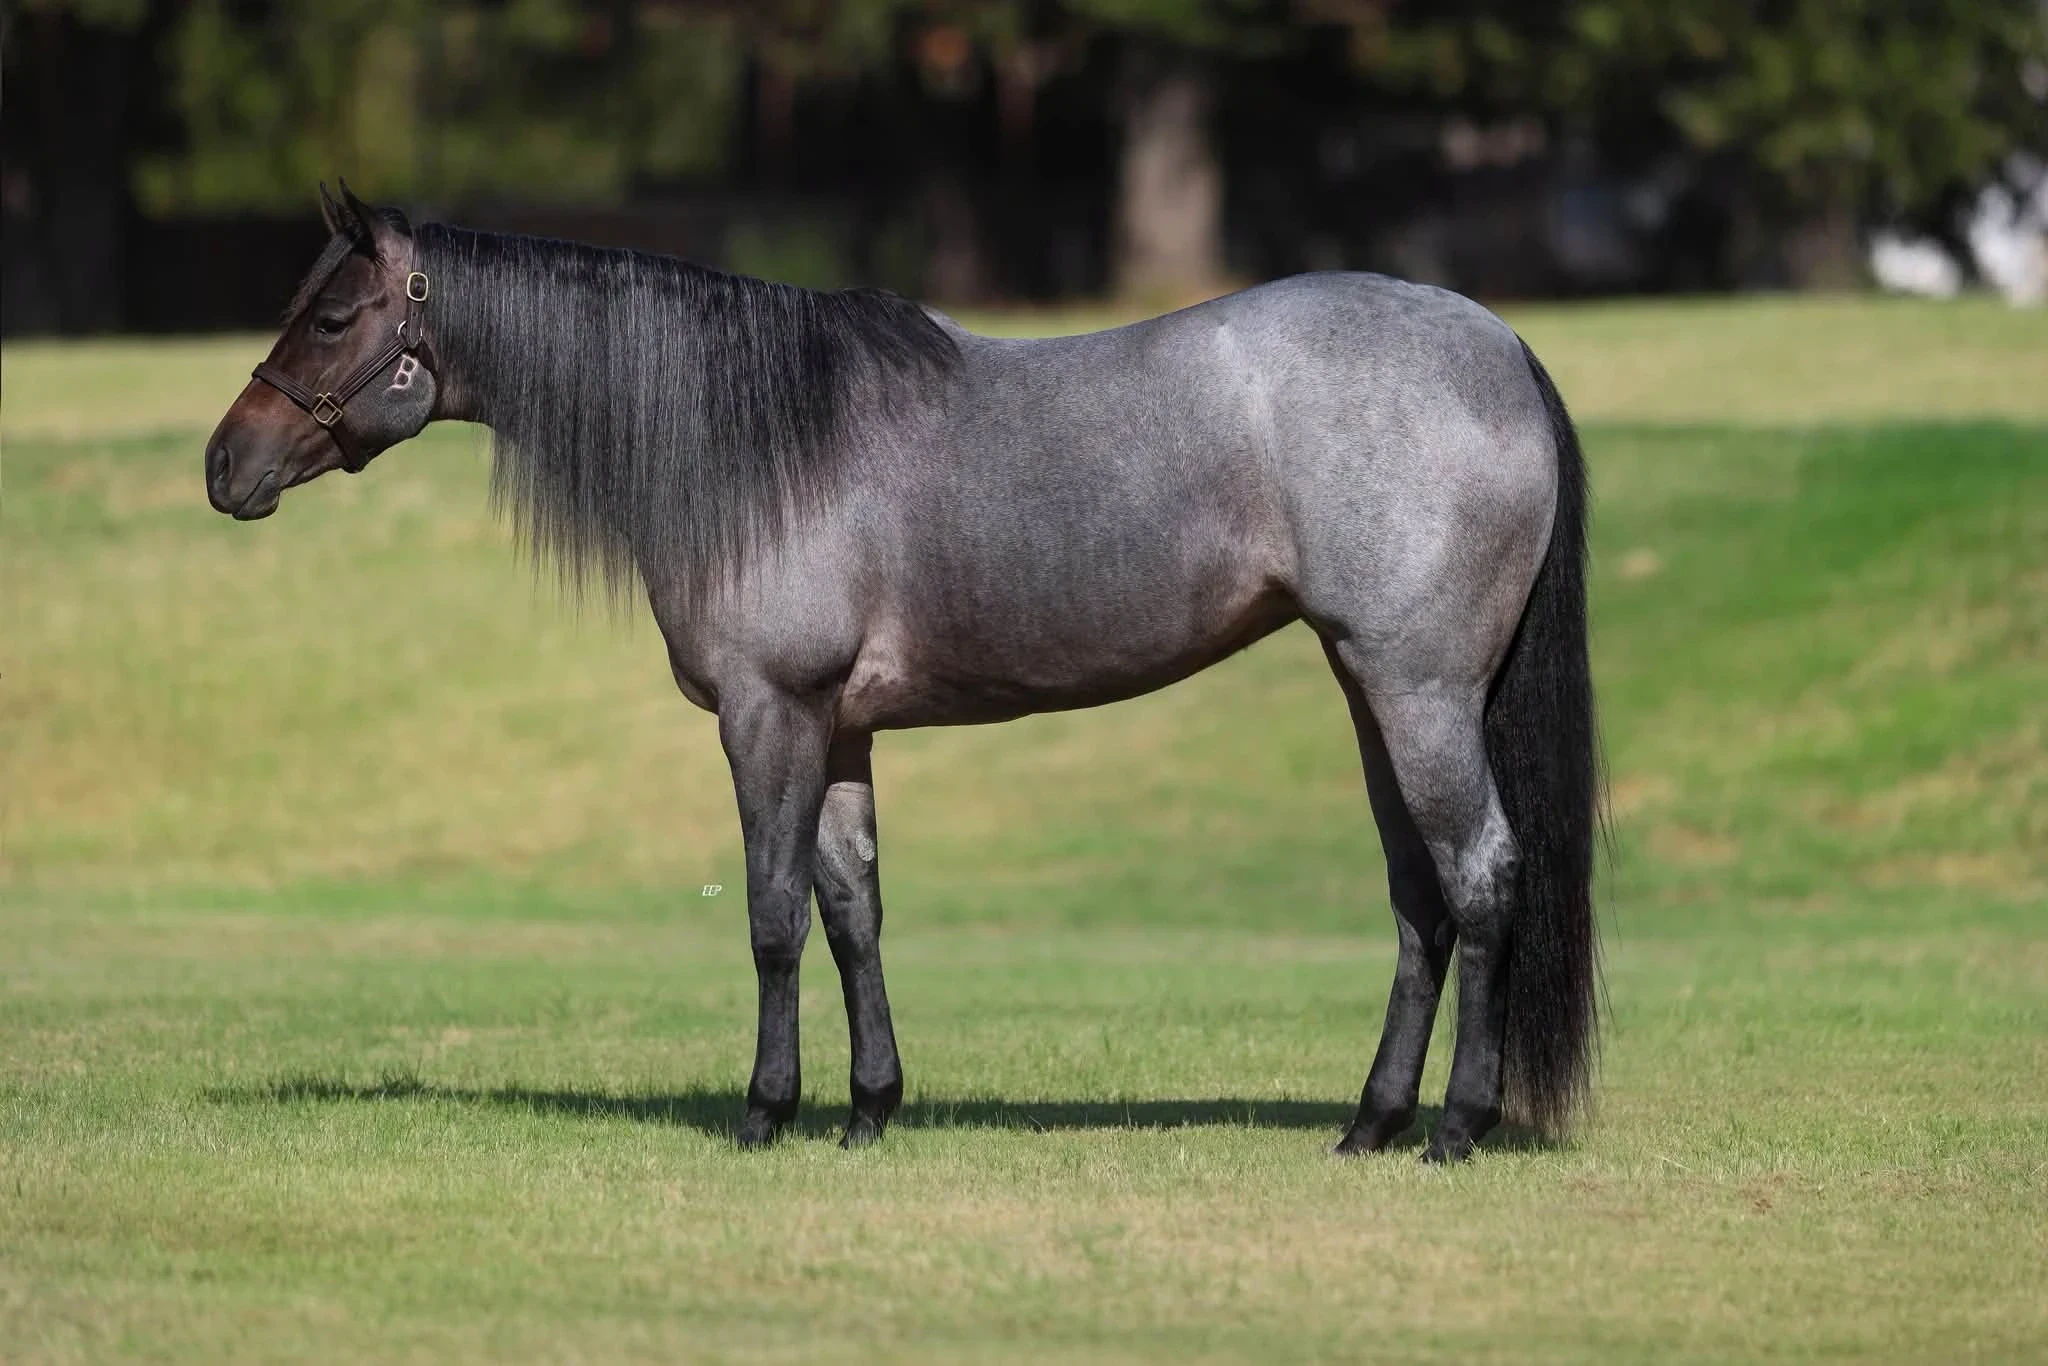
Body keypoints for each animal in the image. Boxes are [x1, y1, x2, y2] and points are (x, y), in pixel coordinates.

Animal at [205, 184, 1599, 1162]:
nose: (226, 465)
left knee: (1480, 877)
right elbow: (851, 910)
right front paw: (869, 1108)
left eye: (332, 316)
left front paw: (765, 1112)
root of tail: (1500, 350)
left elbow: (770, 913)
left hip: (1418, 693)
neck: (760, 443)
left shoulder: (767, 716)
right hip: (1373, 693)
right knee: (1418, 900)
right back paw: (1367, 1123)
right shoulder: (838, 730)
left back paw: (1454, 1127)